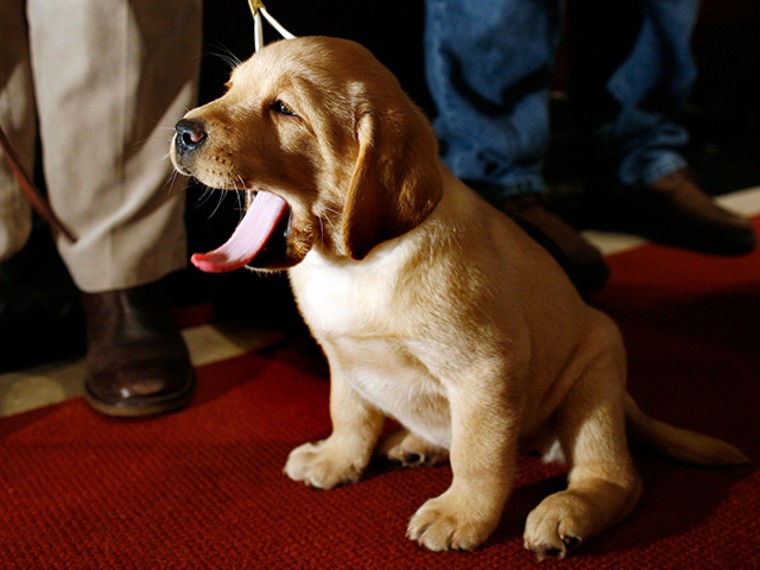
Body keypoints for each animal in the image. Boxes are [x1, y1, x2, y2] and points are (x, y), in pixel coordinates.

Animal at [169, 36, 744, 560]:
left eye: (284, 109)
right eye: (228, 89)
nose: (182, 130)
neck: (356, 263)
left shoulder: (485, 371)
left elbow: (478, 455)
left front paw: (461, 515)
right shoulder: (343, 358)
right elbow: (349, 414)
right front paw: (337, 459)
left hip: (595, 378)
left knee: (616, 476)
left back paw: (566, 513)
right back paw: (413, 443)